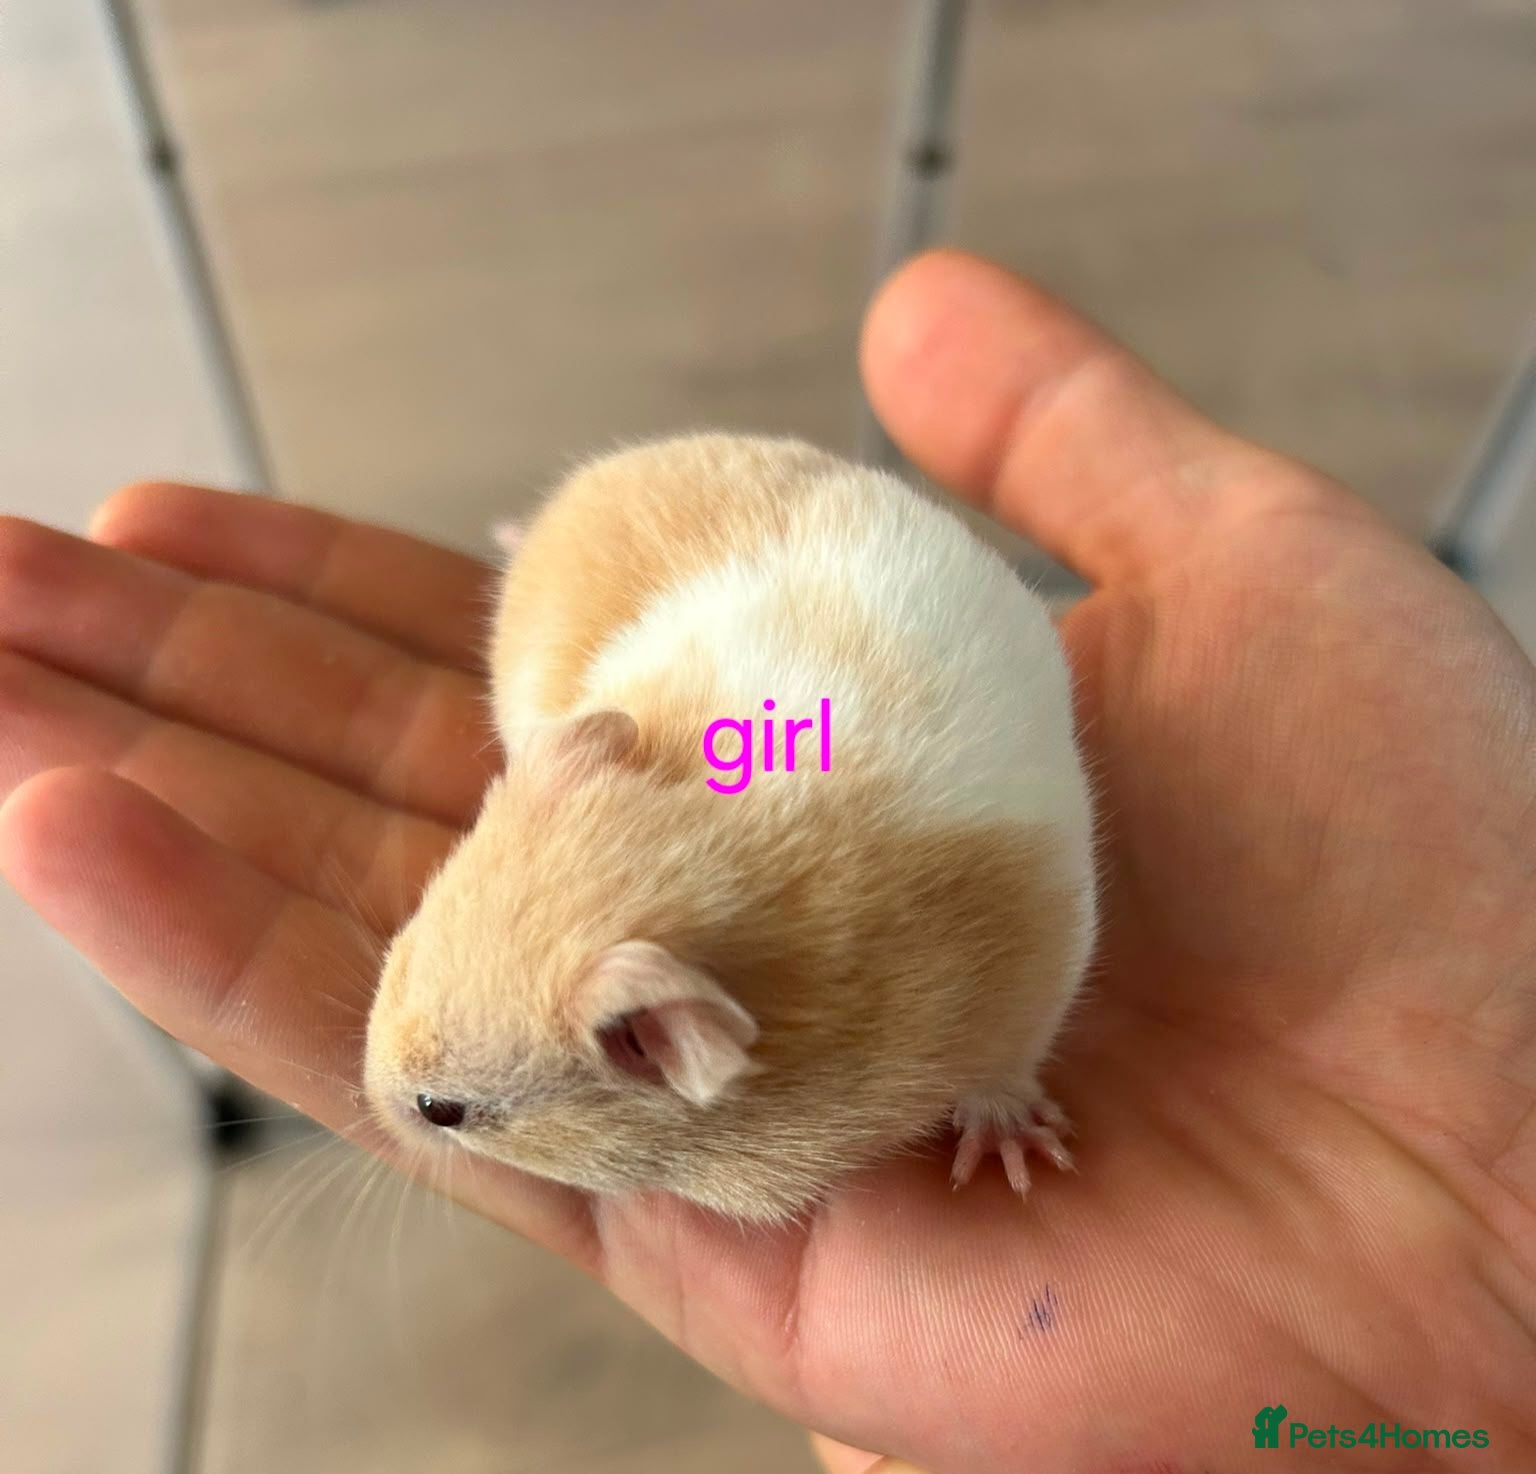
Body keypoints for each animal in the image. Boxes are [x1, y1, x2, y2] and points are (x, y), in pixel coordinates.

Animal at [363, 434, 1097, 1223]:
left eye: (443, 1110)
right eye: (398, 951)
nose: (368, 1099)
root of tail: (561, 504)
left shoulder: (1049, 959)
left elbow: (1008, 1069)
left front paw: (1023, 1162)